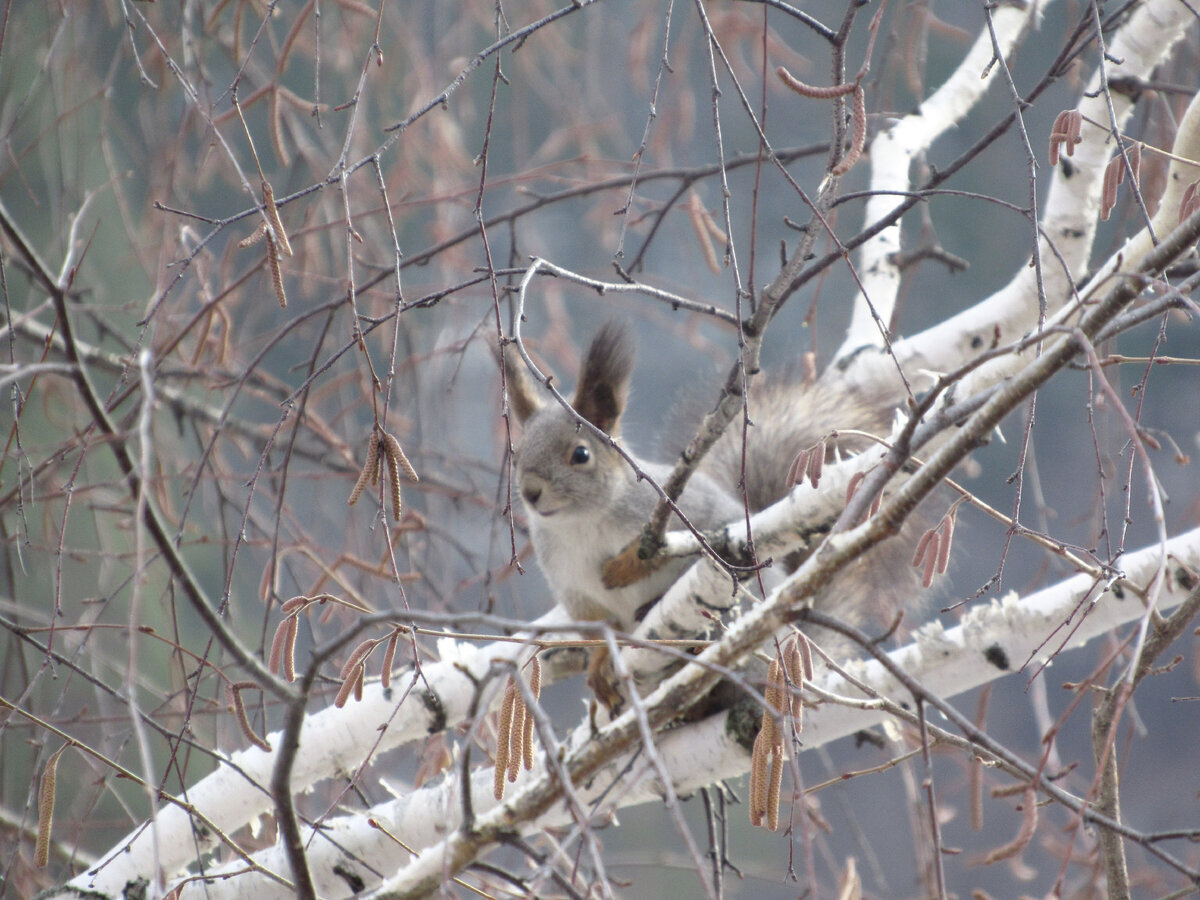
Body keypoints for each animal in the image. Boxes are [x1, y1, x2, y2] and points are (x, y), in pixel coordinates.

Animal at [506, 321, 916, 643]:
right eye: (517, 452)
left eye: (580, 455)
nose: (530, 492)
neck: (581, 524)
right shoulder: (575, 593)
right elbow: (597, 632)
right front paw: (602, 669)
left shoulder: (692, 511)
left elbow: (700, 539)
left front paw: (629, 565)